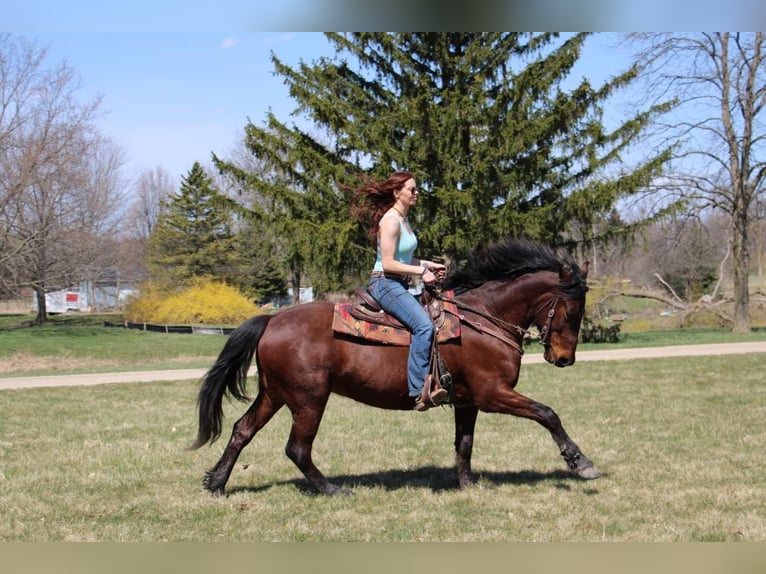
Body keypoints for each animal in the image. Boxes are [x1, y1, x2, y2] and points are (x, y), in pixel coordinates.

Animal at [190, 236, 600, 498]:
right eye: (571, 311)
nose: (565, 358)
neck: (481, 319)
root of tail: (272, 321)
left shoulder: (468, 401)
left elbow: (464, 443)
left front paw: (467, 485)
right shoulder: (493, 393)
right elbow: (547, 413)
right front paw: (580, 461)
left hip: (274, 394)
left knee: (242, 430)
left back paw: (217, 482)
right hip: (309, 400)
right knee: (297, 449)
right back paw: (332, 489)